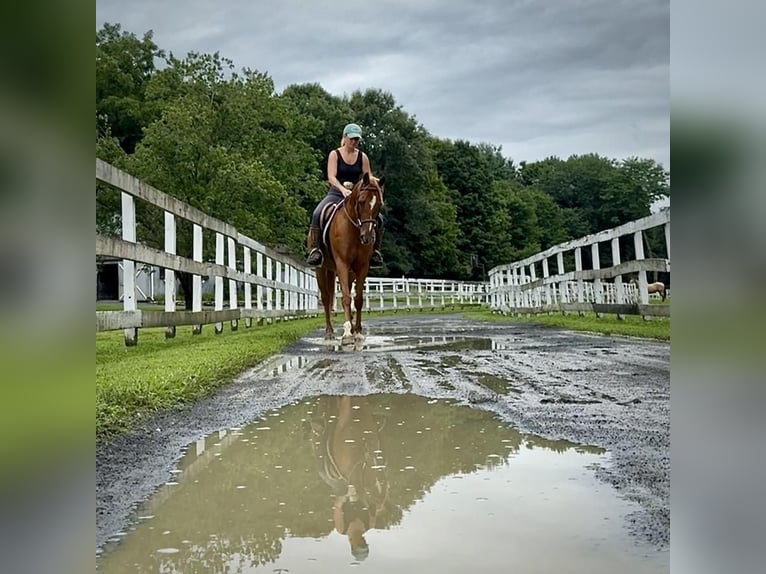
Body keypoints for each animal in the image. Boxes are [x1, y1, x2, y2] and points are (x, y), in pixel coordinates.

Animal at [316, 173, 384, 344]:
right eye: (361, 201)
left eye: (379, 204)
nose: (367, 237)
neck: (354, 228)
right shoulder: (342, 264)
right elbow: (346, 297)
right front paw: (347, 334)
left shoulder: (362, 267)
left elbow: (358, 299)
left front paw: (358, 332)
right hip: (320, 269)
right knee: (326, 298)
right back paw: (329, 332)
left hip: (349, 273)